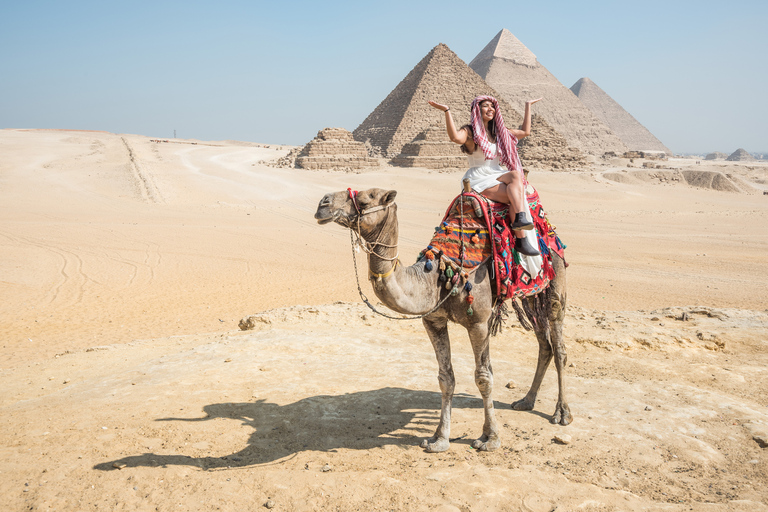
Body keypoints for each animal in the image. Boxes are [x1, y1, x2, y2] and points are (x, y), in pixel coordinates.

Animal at [314, 188, 568, 452]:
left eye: (365, 200)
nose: (323, 203)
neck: (437, 276)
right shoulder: (433, 321)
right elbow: (446, 378)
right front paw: (439, 438)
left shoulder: (479, 322)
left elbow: (484, 378)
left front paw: (490, 438)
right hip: (531, 296)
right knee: (544, 344)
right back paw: (527, 400)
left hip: (556, 280)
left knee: (559, 345)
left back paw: (561, 413)